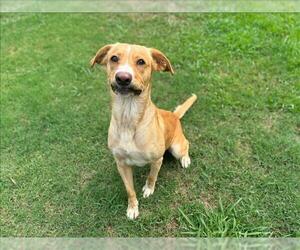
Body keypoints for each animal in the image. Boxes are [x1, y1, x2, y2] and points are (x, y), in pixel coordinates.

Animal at [90, 44, 198, 220]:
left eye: (141, 61)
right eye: (114, 58)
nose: (123, 78)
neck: (128, 118)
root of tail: (174, 115)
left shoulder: (157, 160)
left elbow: (152, 176)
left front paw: (148, 189)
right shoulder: (121, 164)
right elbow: (130, 190)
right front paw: (132, 208)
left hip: (176, 147)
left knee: (186, 144)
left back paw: (185, 159)